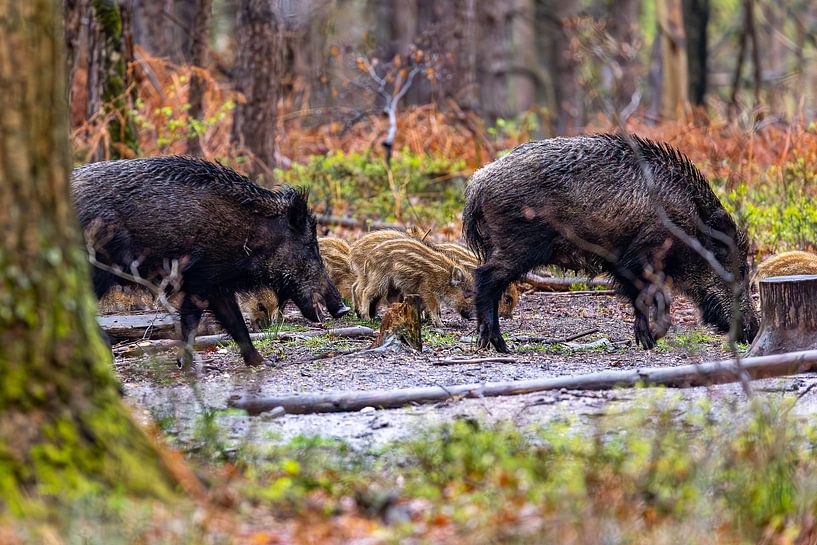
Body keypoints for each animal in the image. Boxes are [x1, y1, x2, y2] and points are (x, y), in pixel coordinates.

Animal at [72, 156, 350, 366]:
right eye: (310, 246)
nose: (343, 308)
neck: (251, 234)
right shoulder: (201, 280)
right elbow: (193, 322)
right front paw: (186, 365)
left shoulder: (216, 284)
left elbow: (235, 324)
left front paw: (261, 363)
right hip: (96, 270)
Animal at [463, 134, 759, 352]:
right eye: (742, 269)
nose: (753, 331)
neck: (687, 225)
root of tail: (477, 184)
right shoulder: (635, 258)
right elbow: (644, 297)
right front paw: (651, 340)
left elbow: (651, 298)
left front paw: (651, 338)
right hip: (519, 244)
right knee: (484, 277)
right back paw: (497, 345)